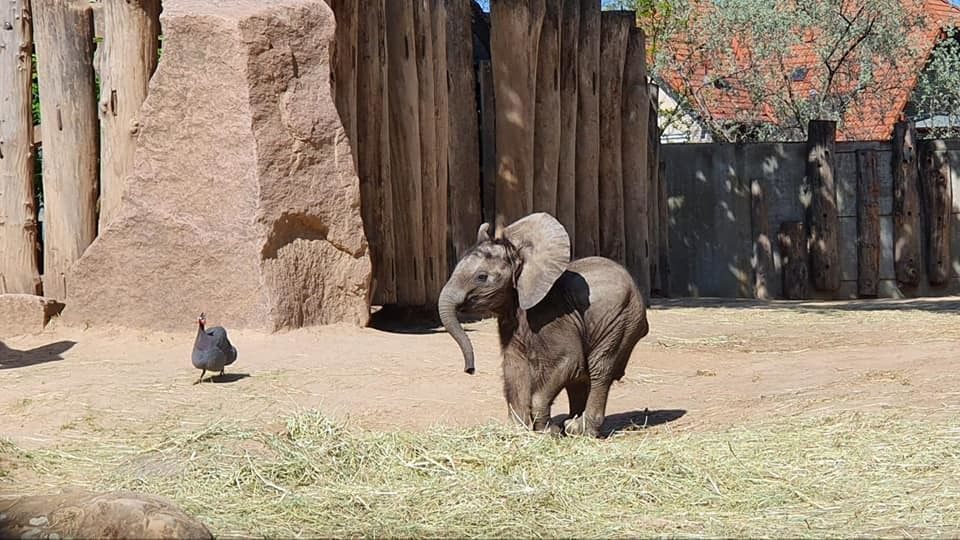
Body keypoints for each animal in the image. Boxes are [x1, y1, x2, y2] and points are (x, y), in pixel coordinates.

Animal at [438, 213, 648, 436]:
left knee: (598, 369)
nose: (469, 370)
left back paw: (579, 430)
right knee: (582, 377)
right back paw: (570, 424)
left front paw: (547, 432)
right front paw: (519, 429)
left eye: (481, 277)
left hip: (621, 320)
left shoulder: (554, 314)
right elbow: (514, 365)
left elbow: (570, 361)